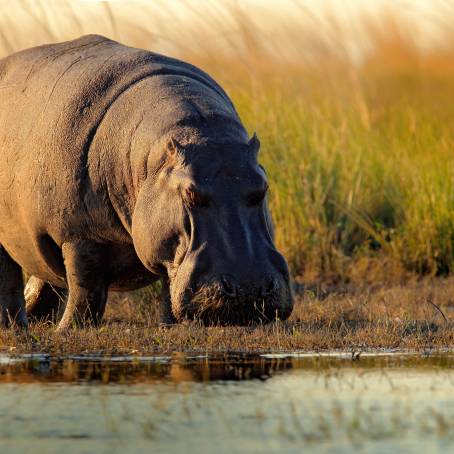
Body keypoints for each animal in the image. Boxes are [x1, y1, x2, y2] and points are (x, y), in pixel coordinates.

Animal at [0, 32, 292, 330]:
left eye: (262, 188)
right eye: (190, 193)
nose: (248, 291)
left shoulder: (161, 239)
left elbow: (168, 287)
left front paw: (171, 327)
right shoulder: (80, 235)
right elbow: (86, 288)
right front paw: (68, 330)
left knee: (45, 273)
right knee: (10, 280)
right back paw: (14, 326)